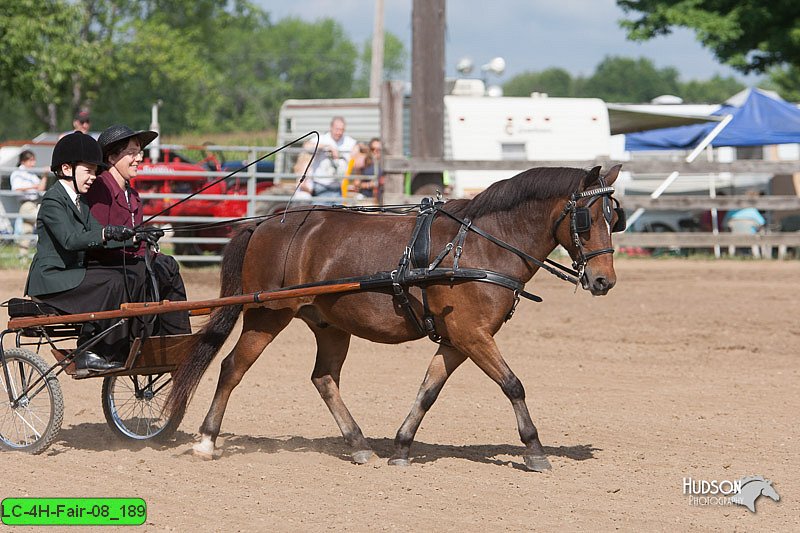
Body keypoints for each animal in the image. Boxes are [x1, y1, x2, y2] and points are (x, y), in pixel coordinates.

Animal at [167, 163, 624, 470]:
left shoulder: (458, 340)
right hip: (267, 315)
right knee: (231, 368)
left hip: (329, 324)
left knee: (324, 379)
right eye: (586, 219)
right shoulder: (473, 334)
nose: (604, 280)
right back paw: (206, 440)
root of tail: (264, 222)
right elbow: (513, 385)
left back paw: (358, 444)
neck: (480, 245)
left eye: (614, 218)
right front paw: (535, 450)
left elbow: (428, 391)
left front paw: (402, 447)